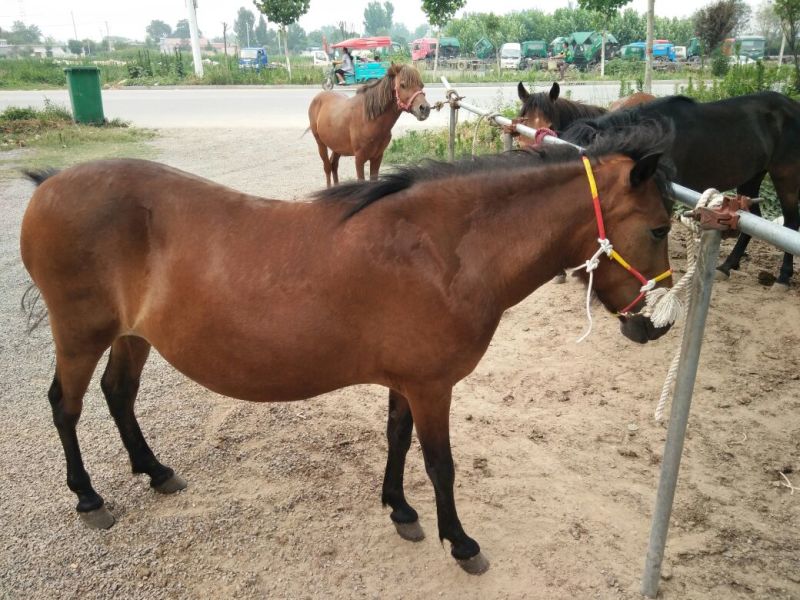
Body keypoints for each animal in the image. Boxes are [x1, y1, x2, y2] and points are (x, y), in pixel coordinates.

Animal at [20, 122, 674, 574]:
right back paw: (89, 499)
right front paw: (460, 543)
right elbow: (440, 465)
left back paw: (155, 471)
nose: (656, 326)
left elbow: (397, 440)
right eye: (660, 227)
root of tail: (50, 184)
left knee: (119, 395)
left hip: (132, 336)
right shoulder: (433, 386)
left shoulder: (408, 382)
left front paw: (401, 510)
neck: (443, 250)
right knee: (66, 407)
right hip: (79, 334)